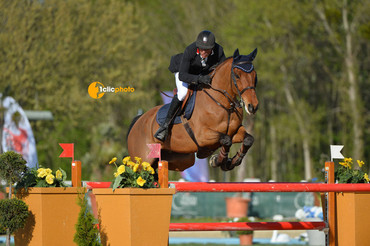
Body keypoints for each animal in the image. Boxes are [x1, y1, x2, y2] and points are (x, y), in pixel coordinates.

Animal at [126, 48, 258, 171]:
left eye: (255, 76)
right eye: (237, 75)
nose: (253, 106)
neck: (224, 104)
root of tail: (138, 121)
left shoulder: (235, 131)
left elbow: (248, 140)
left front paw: (230, 162)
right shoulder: (203, 136)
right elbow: (226, 140)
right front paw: (218, 160)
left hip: (181, 159)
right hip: (143, 161)